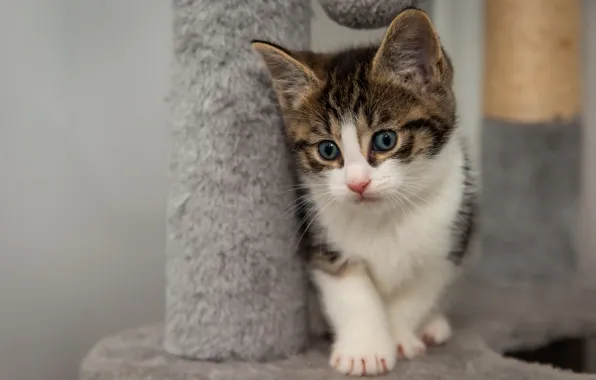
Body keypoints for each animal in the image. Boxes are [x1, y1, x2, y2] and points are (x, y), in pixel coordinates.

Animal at [251, 7, 474, 376]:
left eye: (385, 140)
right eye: (327, 150)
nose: (357, 183)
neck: (383, 217)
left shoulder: (450, 235)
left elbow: (416, 293)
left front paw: (399, 337)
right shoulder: (322, 239)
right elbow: (352, 293)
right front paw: (365, 351)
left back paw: (433, 325)